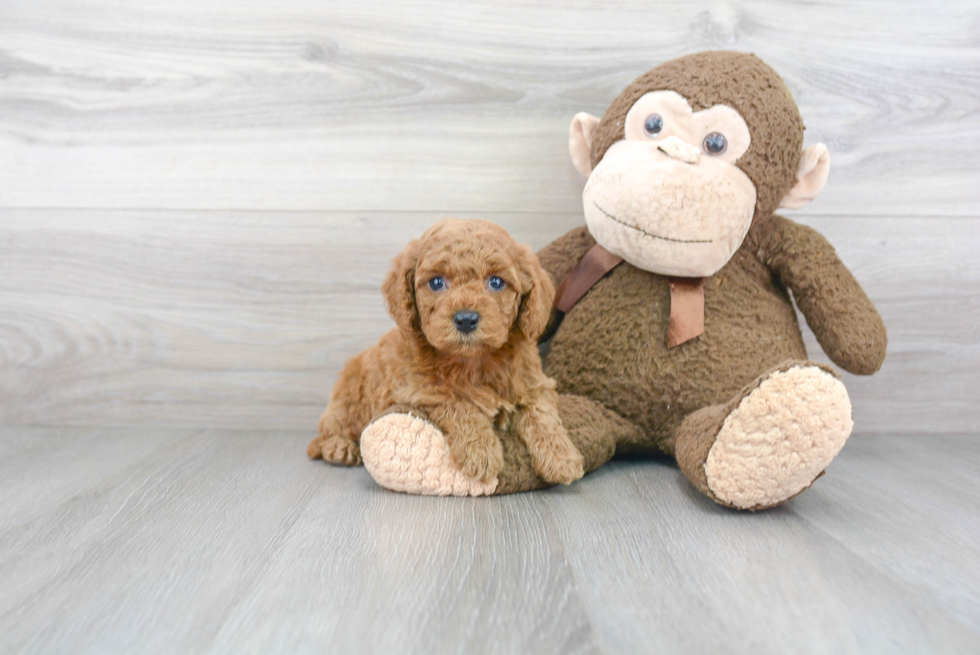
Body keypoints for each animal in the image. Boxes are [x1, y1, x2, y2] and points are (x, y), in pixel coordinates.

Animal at [306, 219, 580, 486]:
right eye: (436, 282)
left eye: (496, 282)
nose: (466, 319)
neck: (473, 361)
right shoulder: (421, 390)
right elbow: (459, 404)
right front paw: (480, 452)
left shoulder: (535, 382)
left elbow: (541, 413)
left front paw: (561, 457)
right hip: (348, 401)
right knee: (326, 433)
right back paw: (339, 447)